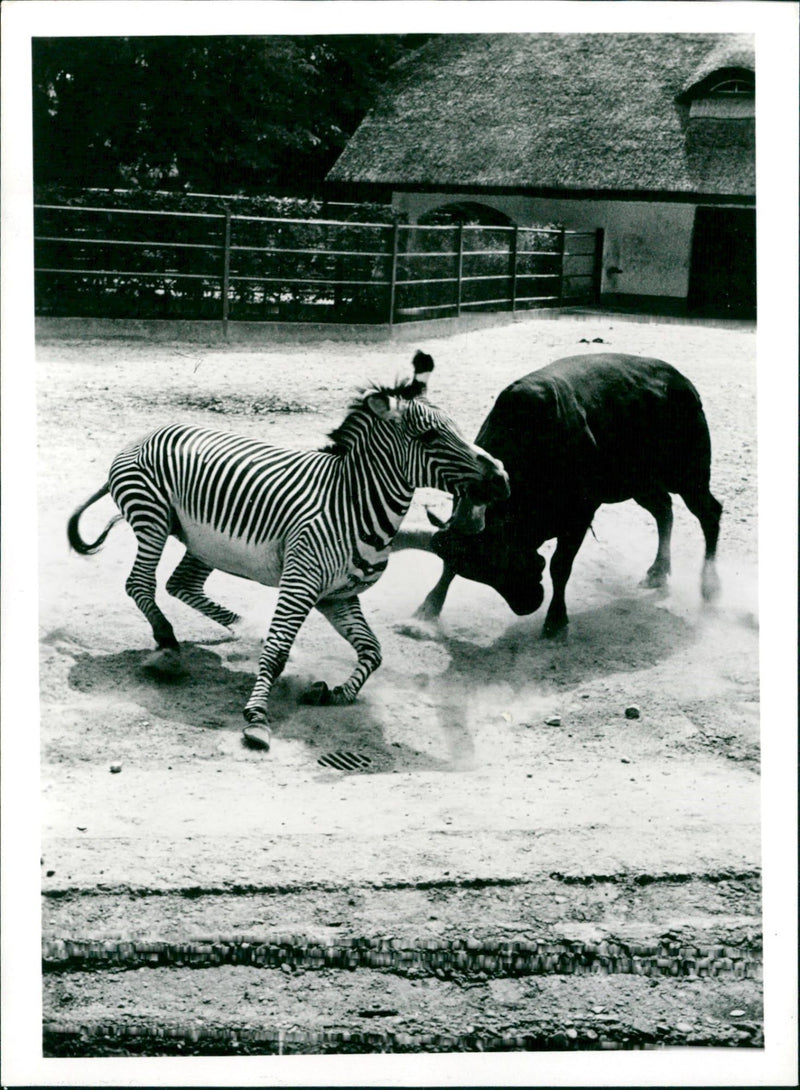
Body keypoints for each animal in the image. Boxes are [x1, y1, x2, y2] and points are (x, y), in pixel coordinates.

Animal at [67, 351, 509, 750]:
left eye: (459, 429)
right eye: (430, 437)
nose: (502, 480)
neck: (353, 502)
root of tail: (145, 435)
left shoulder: (338, 596)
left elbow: (373, 651)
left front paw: (335, 694)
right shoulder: (300, 583)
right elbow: (278, 651)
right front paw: (256, 721)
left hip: (206, 543)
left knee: (181, 584)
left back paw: (244, 627)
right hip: (153, 517)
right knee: (140, 583)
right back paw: (169, 644)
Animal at [396, 353, 722, 637]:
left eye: (506, 559)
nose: (526, 605)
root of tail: (683, 383)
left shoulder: (580, 515)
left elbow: (560, 566)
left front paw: (555, 621)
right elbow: (449, 563)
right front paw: (425, 612)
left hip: (688, 476)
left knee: (709, 513)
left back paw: (709, 587)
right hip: (640, 483)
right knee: (664, 510)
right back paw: (658, 572)